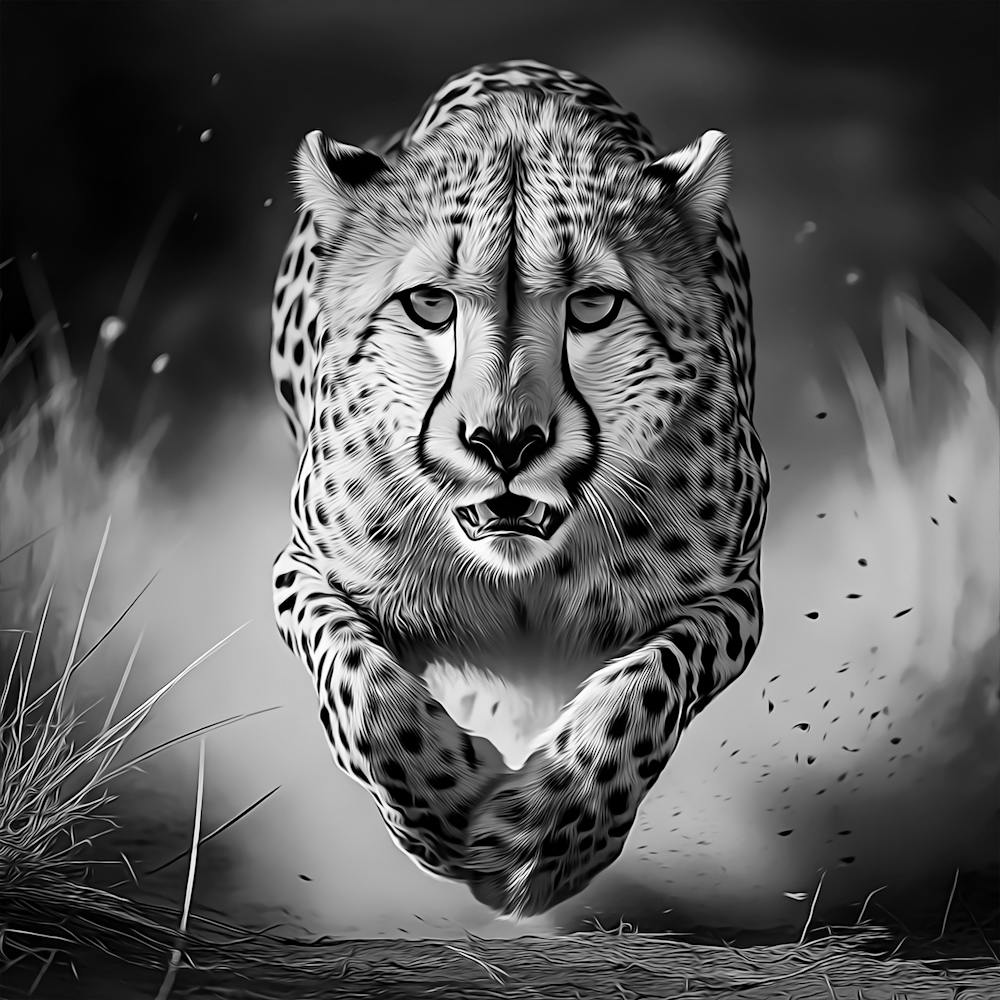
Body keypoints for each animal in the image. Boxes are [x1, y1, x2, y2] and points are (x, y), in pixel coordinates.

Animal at [269, 59, 768, 918]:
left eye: (593, 304)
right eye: (429, 303)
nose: (505, 443)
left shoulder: (731, 595)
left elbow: (648, 687)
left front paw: (550, 837)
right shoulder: (305, 569)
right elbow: (363, 690)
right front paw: (441, 809)